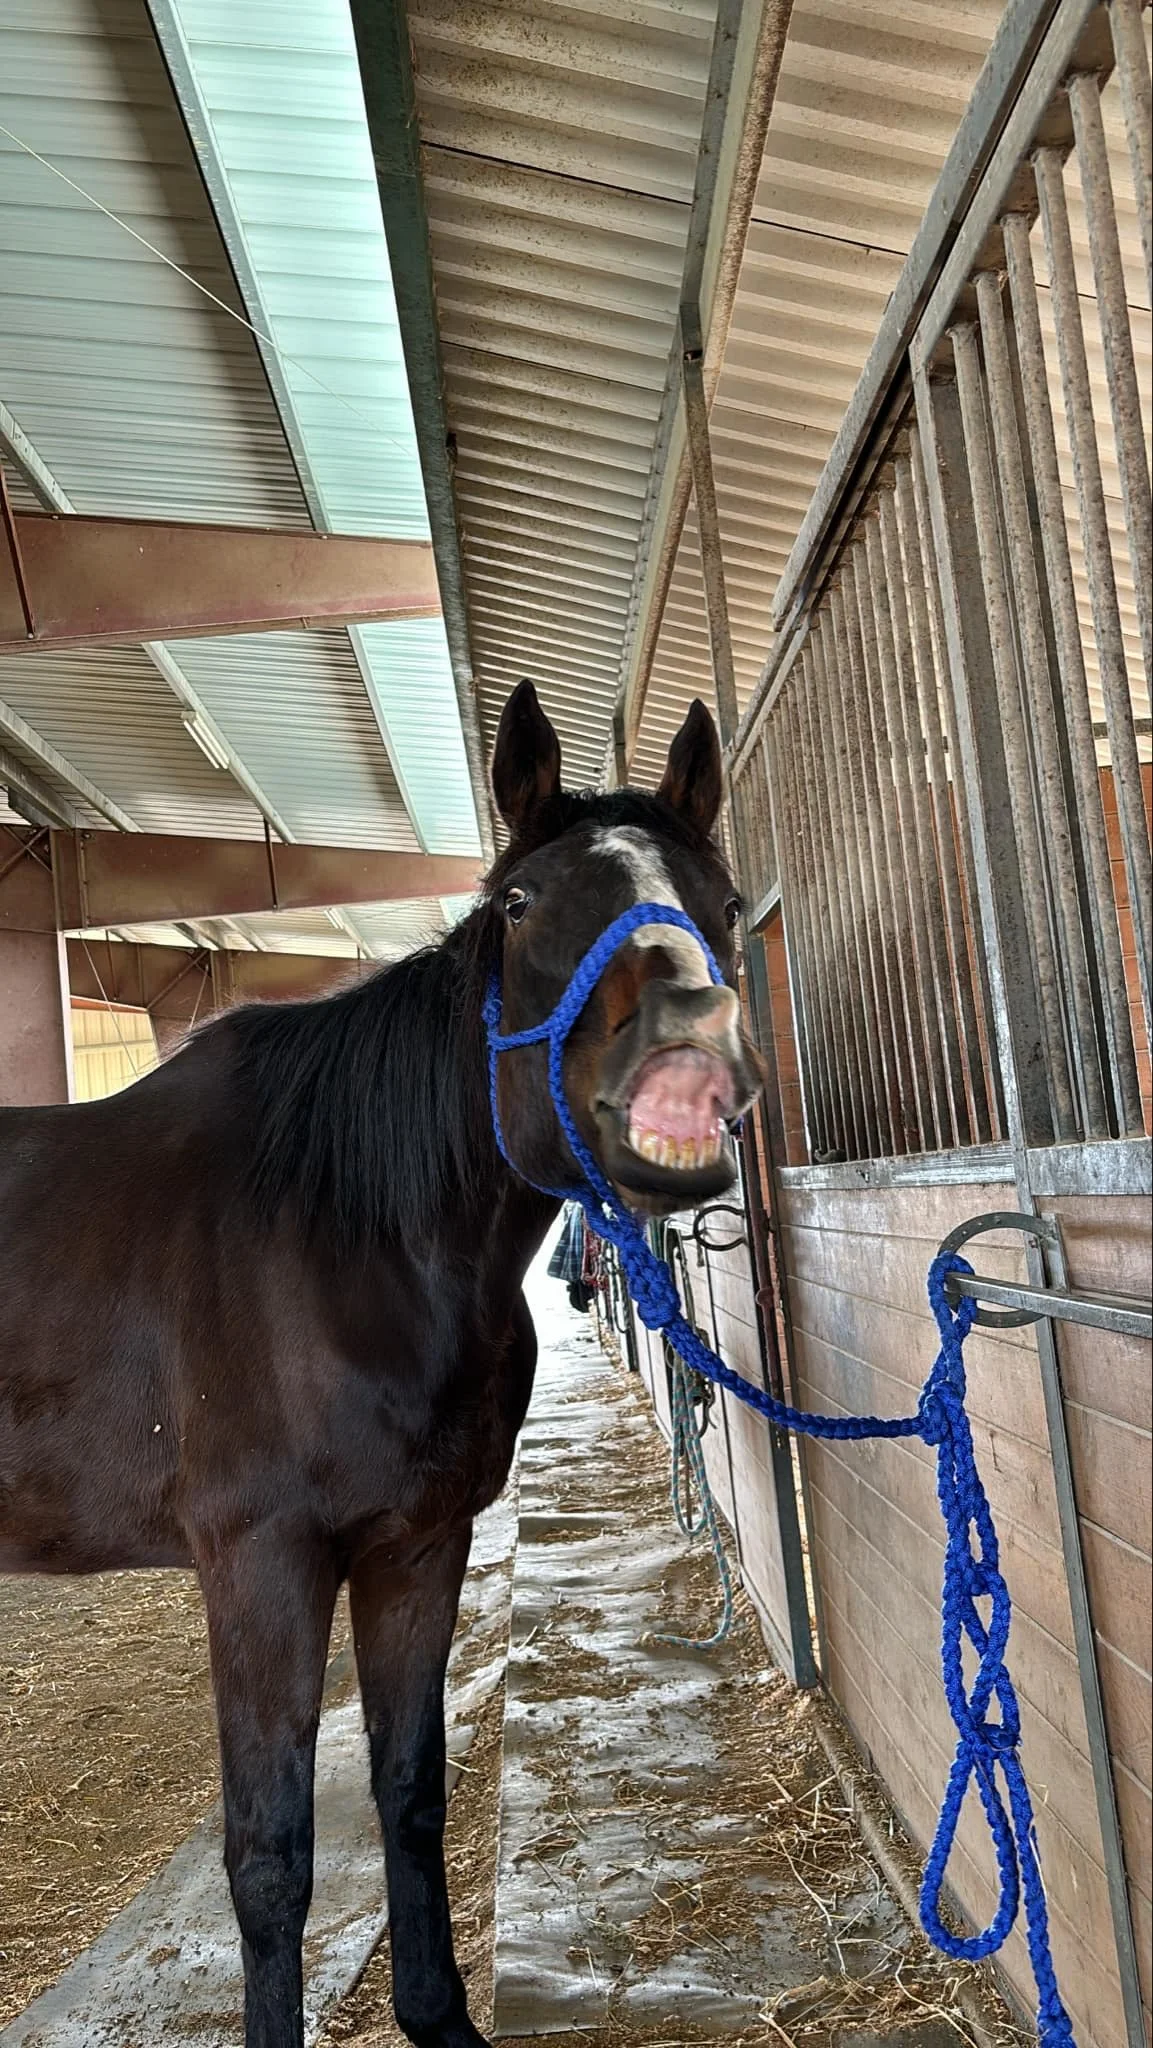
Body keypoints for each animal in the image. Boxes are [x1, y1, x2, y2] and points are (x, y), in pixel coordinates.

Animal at [0, 680, 764, 2048]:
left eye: (721, 901)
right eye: (519, 902)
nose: (691, 1043)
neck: (347, 1234)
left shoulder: (420, 1543)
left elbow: (411, 1790)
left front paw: (439, 2016)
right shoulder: (261, 1564)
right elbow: (271, 1858)